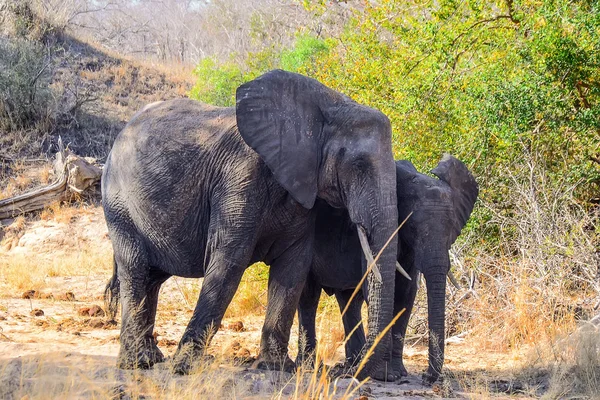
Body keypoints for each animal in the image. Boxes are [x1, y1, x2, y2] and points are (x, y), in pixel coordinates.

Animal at [102, 69, 400, 378]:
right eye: (358, 166)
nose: (351, 372)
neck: (328, 104)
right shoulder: (238, 179)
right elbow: (229, 262)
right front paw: (182, 368)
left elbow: (292, 269)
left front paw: (275, 367)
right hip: (118, 203)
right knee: (136, 270)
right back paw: (137, 363)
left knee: (152, 278)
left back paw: (150, 359)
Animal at [298, 155, 478, 382]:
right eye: (412, 226)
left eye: (453, 229)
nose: (427, 377)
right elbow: (381, 290)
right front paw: (386, 376)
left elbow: (406, 295)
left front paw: (399, 373)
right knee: (309, 296)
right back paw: (310, 366)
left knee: (349, 300)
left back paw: (352, 366)